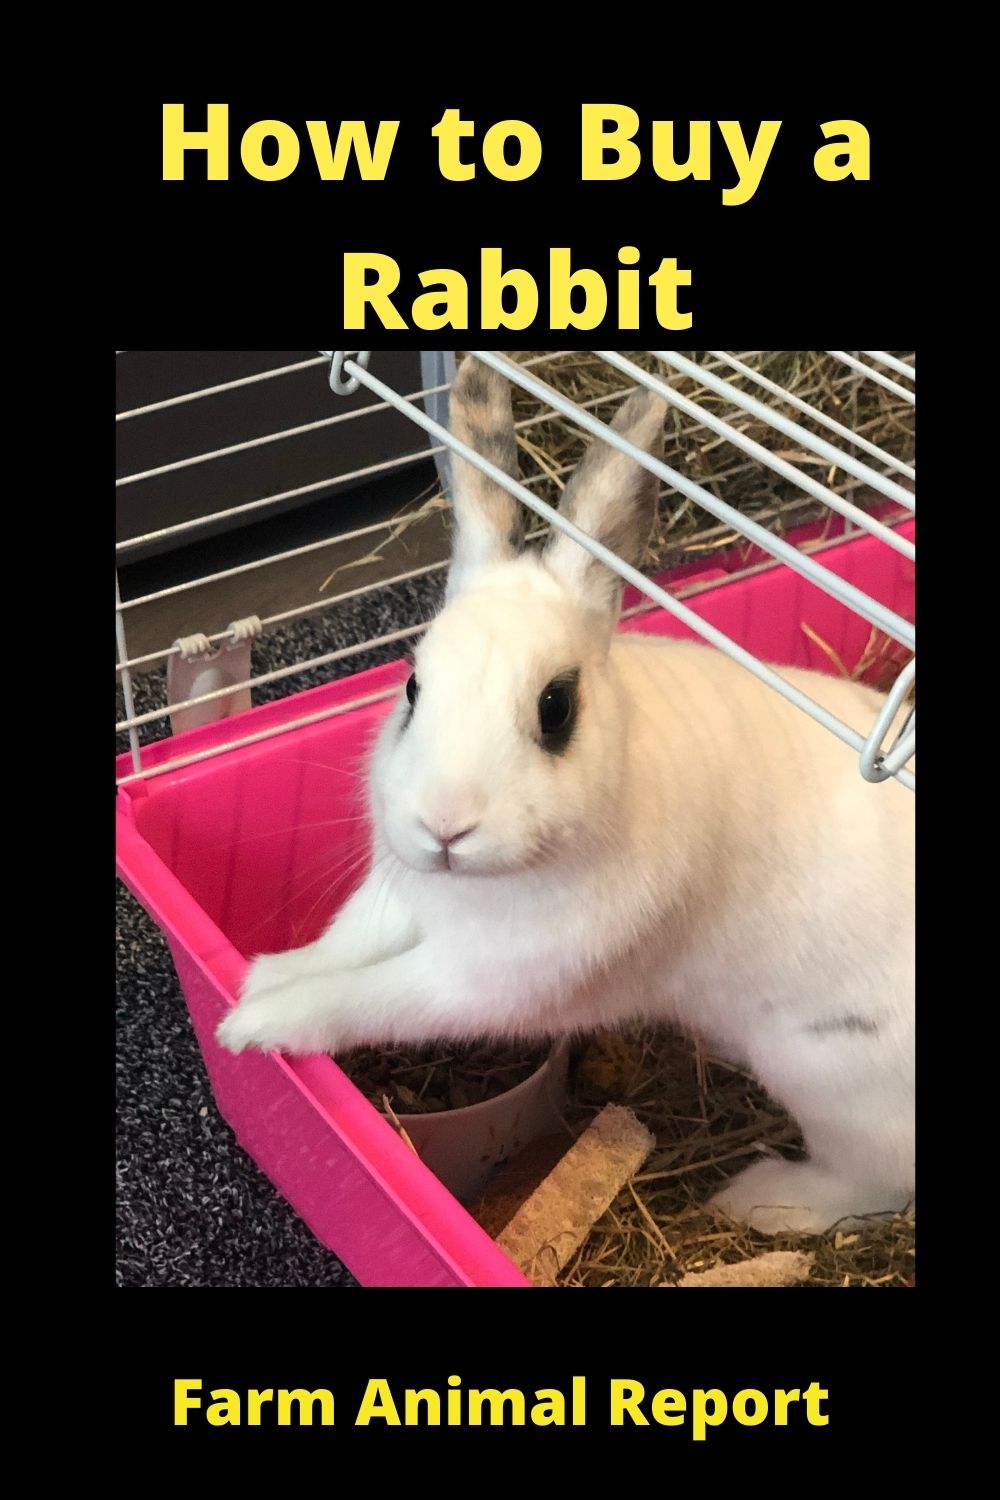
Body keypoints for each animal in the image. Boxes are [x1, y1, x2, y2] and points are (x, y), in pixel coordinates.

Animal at [217, 354, 915, 1238]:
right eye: (411, 687)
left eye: (557, 708)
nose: (445, 826)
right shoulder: (395, 898)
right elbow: (341, 948)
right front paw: (264, 976)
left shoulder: (483, 980)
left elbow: (368, 995)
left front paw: (251, 1024)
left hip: (836, 1081)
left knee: (874, 1187)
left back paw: (759, 1198)